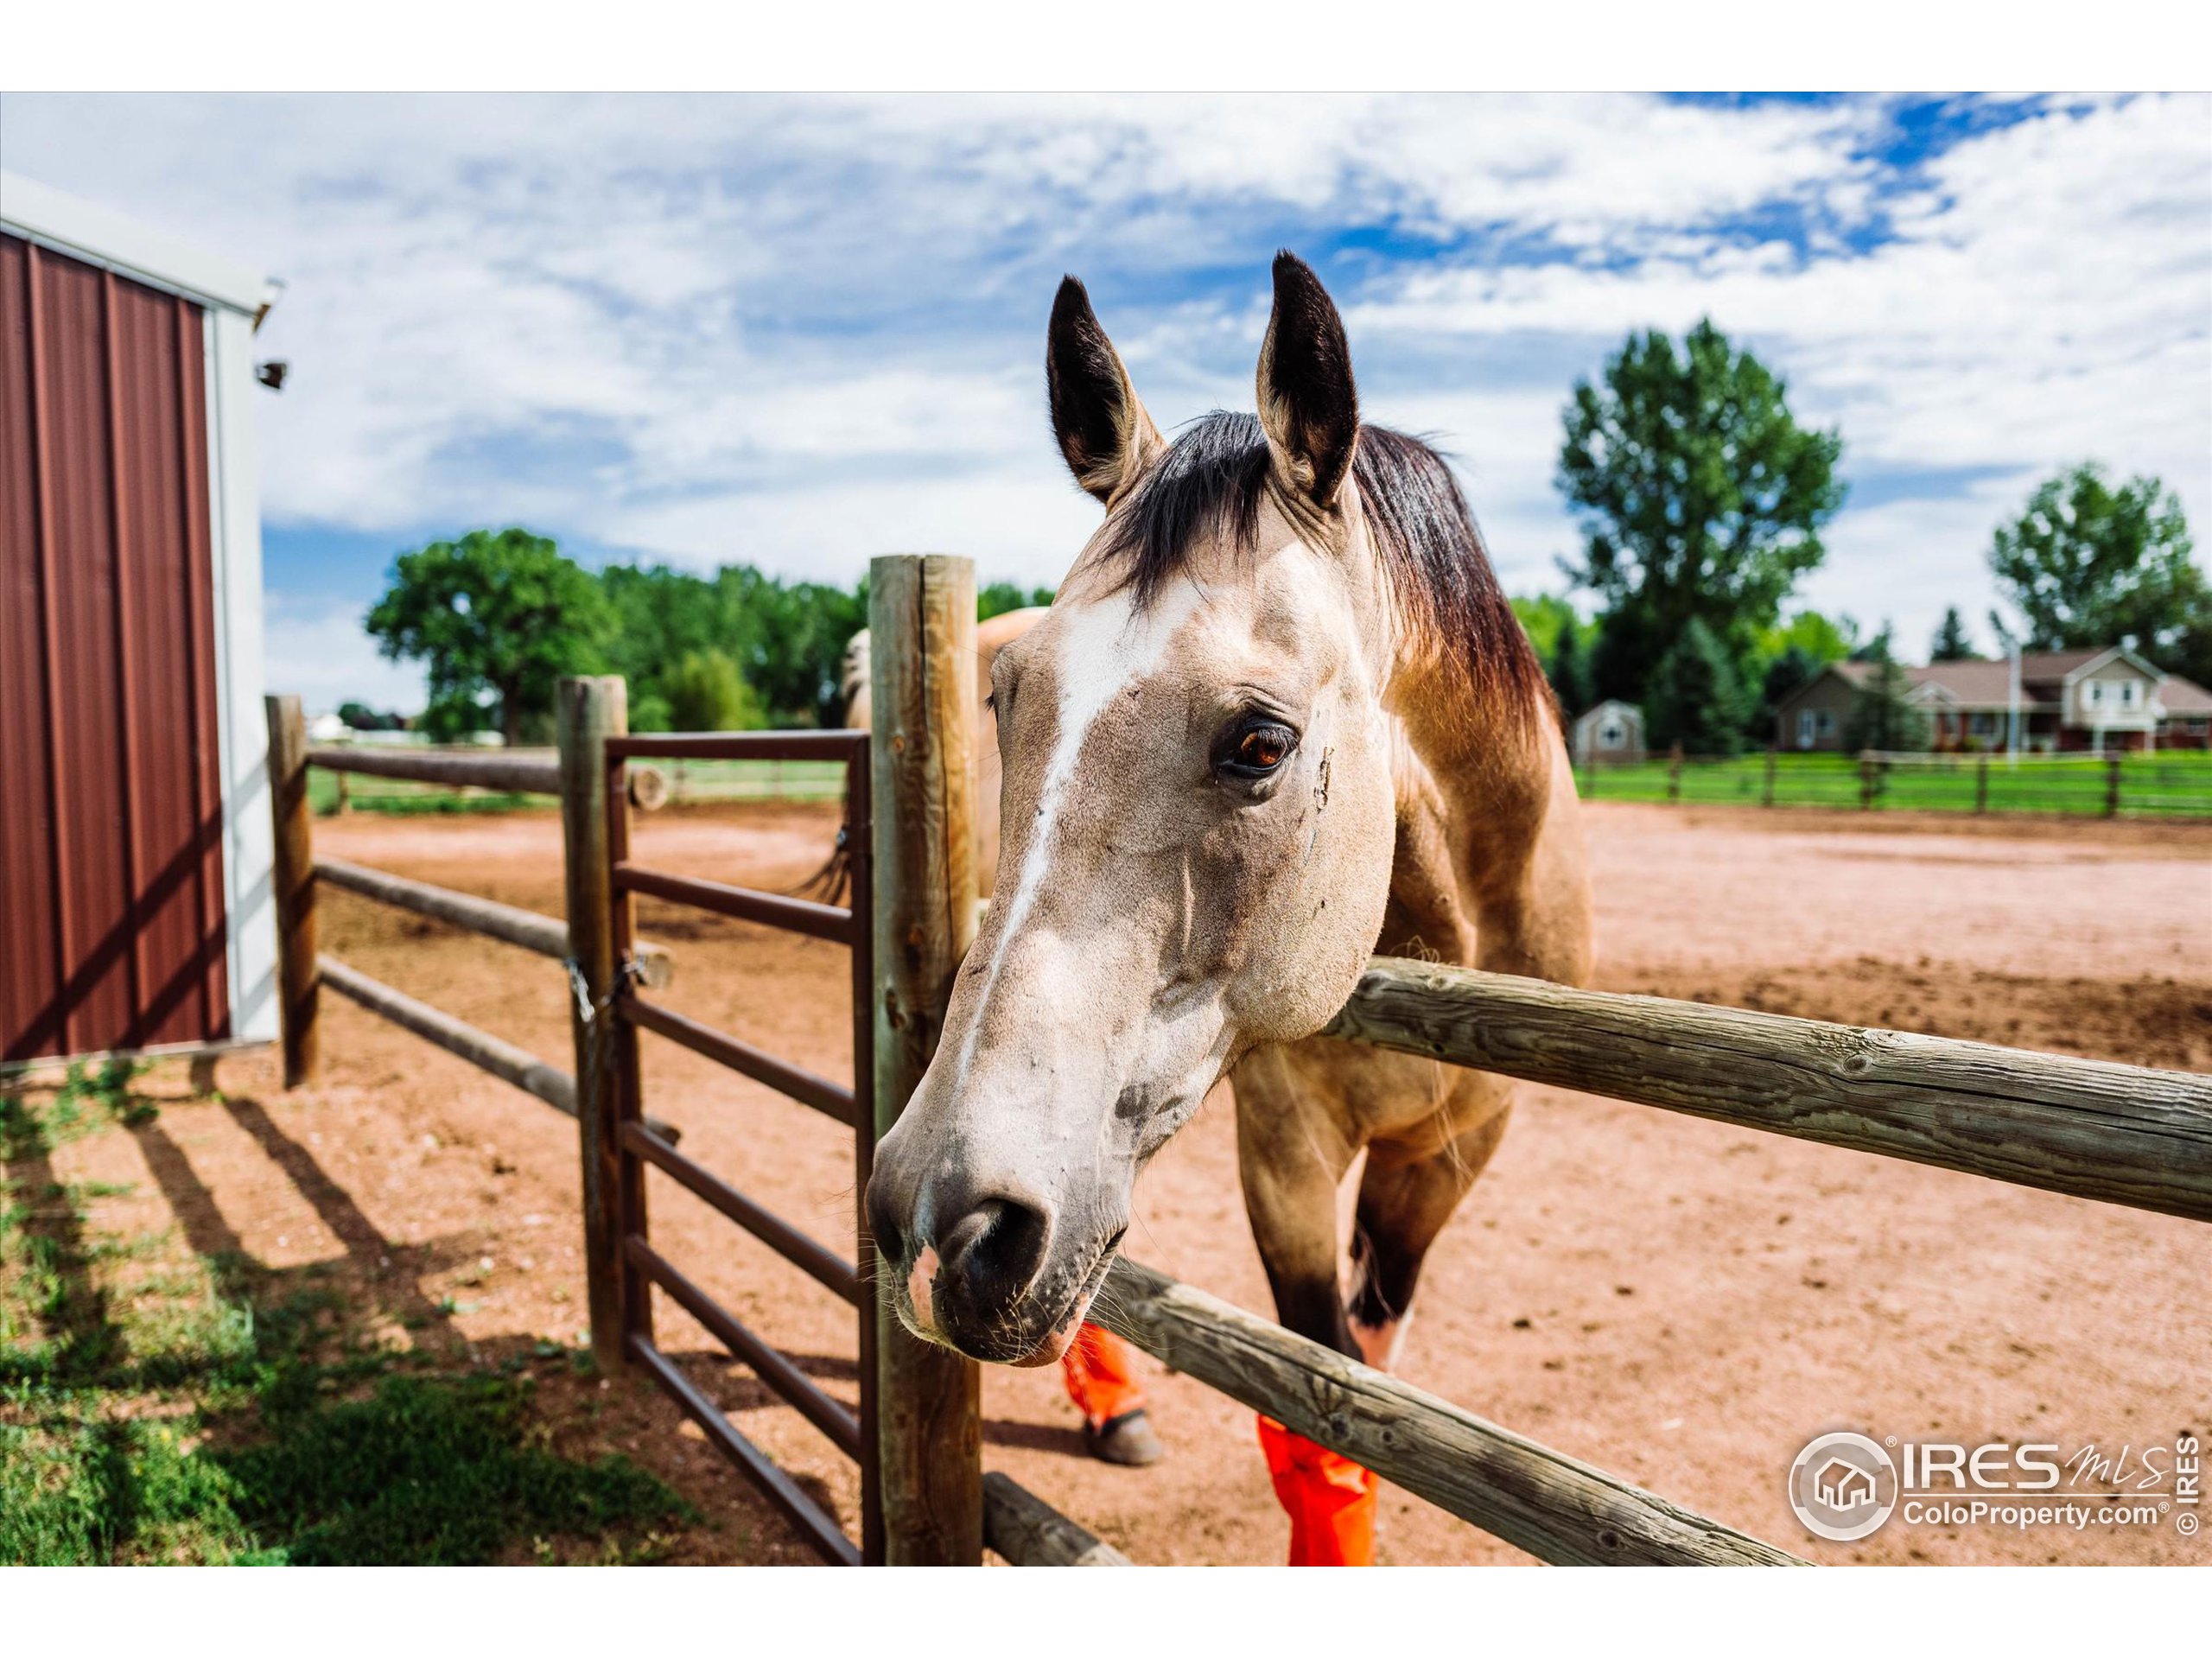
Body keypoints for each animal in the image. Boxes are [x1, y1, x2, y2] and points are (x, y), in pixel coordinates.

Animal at [858, 253, 1592, 1566]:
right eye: (1006, 696)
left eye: (1261, 741)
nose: (945, 1217)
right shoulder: (1284, 1146)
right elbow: (1320, 1426)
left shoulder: (1456, 1152)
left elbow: (1370, 1375)